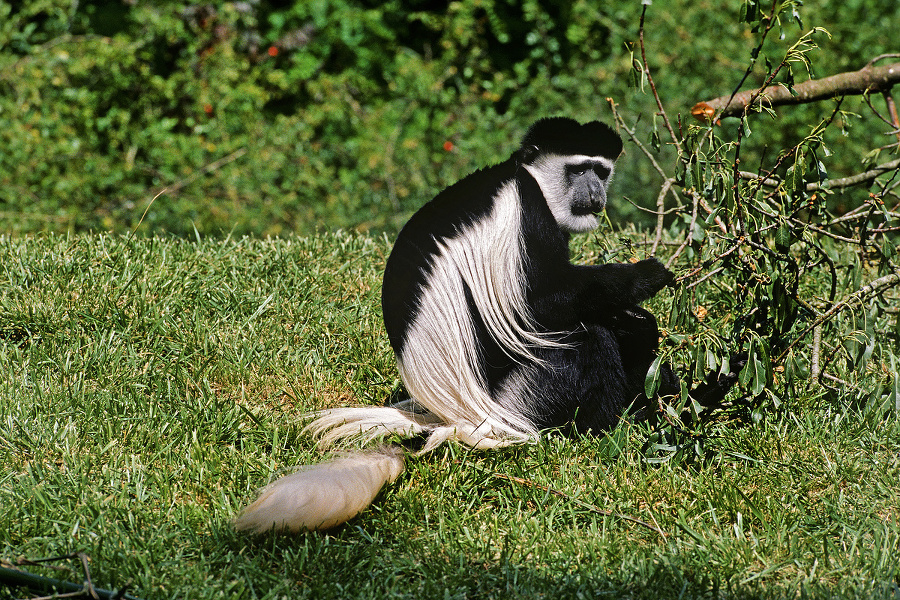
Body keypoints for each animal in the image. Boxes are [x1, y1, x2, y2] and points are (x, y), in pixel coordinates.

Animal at [236, 117, 740, 536]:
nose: (595, 192)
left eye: (601, 170)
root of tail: (455, 416)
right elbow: (543, 302)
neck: (529, 176)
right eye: (579, 169)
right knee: (585, 341)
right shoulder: (528, 213)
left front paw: (642, 324)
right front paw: (646, 277)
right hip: (523, 397)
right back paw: (613, 427)